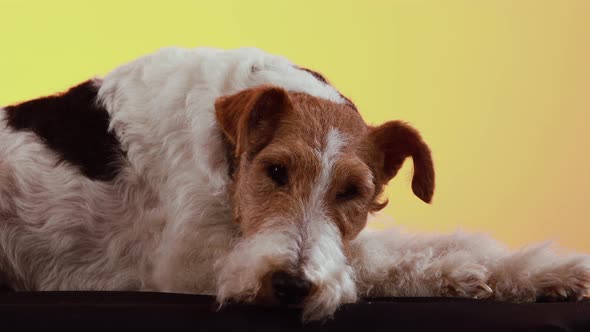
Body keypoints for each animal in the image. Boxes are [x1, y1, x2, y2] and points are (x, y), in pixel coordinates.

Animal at [1, 46, 590, 320]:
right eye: (275, 171)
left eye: (353, 192)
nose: (289, 287)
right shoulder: (191, 264)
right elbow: (381, 260)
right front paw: (470, 274)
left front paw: (549, 274)